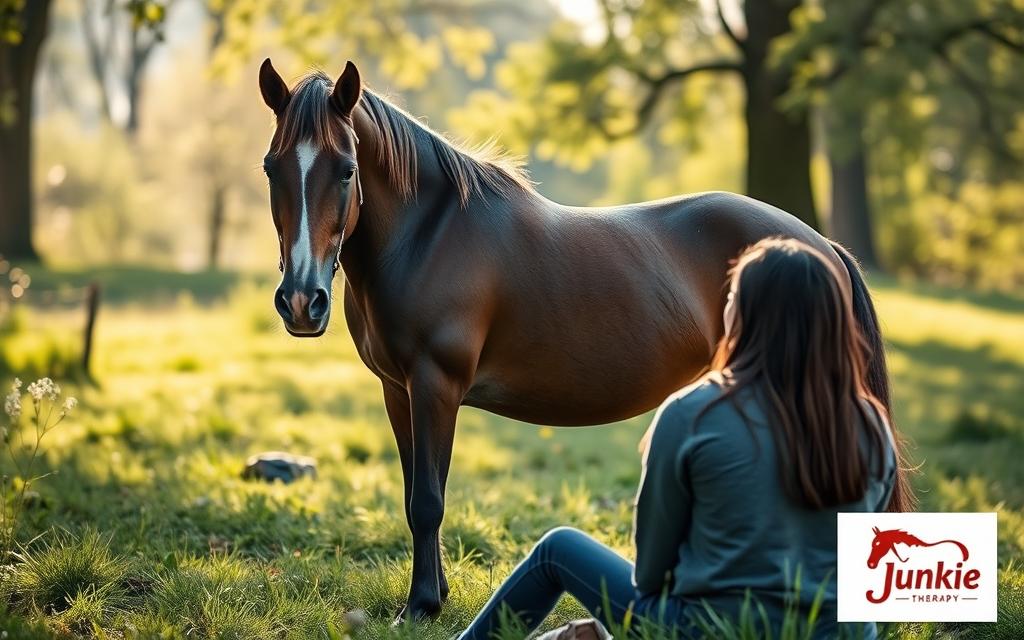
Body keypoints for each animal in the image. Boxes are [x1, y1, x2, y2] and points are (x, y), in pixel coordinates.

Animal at [258, 58, 913, 618]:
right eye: (271, 168)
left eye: (347, 169)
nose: (302, 301)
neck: (428, 235)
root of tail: (817, 244)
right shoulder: (400, 391)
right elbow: (417, 492)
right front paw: (433, 595)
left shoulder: (434, 386)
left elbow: (428, 501)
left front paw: (421, 605)